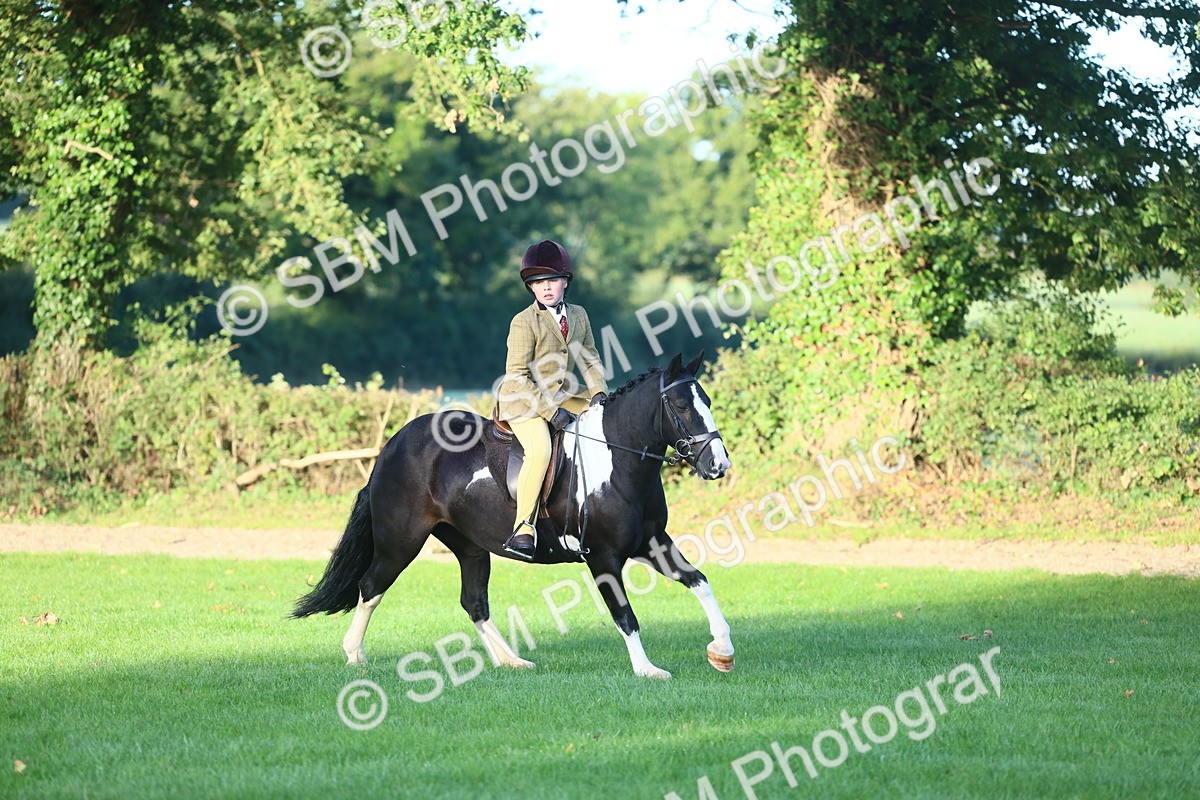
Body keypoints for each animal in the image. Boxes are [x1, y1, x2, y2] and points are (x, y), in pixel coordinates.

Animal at [292, 351, 735, 679]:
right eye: (682, 405)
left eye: (709, 402)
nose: (718, 465)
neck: (618, 461)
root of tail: (392, 445)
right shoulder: (602, 556)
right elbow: (625, 614)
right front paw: (647, 670)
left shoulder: (652, 542)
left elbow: (700, 582)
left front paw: (722, 651)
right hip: (400, 543)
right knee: (371, 588)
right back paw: (354, 655)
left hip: (469, 547)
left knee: (473, 601)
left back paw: (511, 661)